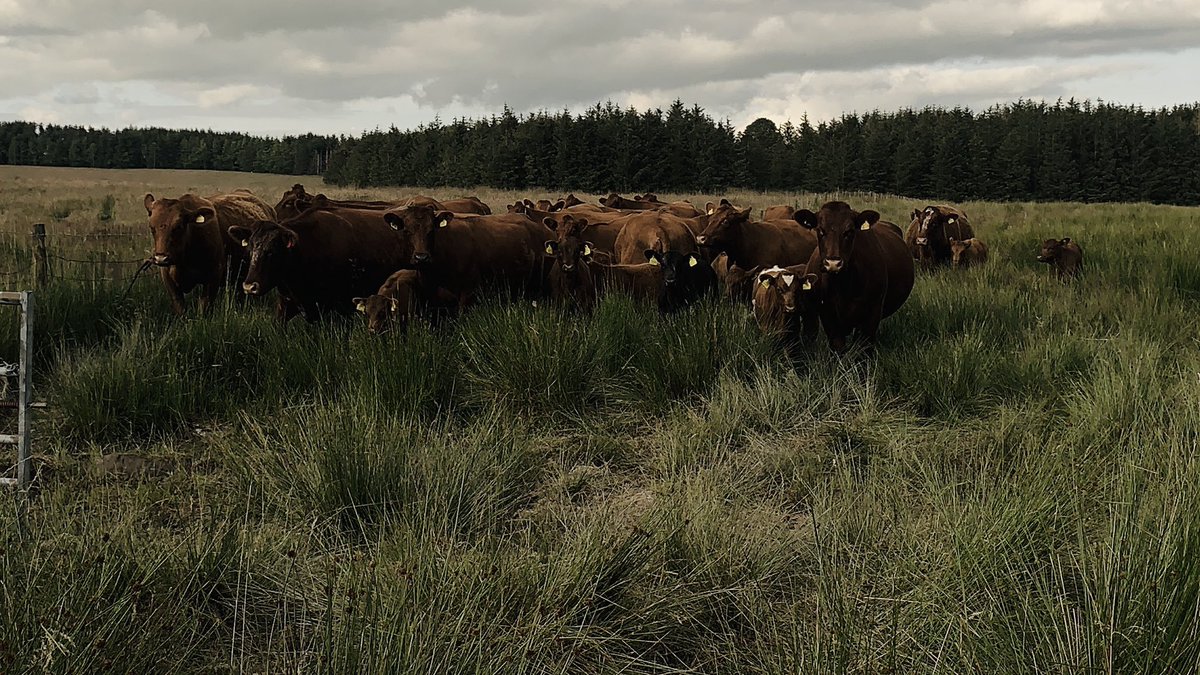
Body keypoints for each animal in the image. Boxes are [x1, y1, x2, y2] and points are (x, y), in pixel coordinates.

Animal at [144, 191, 274, 315]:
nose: (161, 258)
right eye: (151, 227)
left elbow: (204, 307)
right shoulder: (169, 280)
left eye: (178, 226)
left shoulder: (213, 277)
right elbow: (179, 307)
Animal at [794, 201, 915, 353]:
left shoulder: (872, 313)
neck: (844, 286)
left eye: (849, 231)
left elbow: (864, 347)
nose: (833, 263)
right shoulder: (828, 315)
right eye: (820, 230)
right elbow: (838, 346)